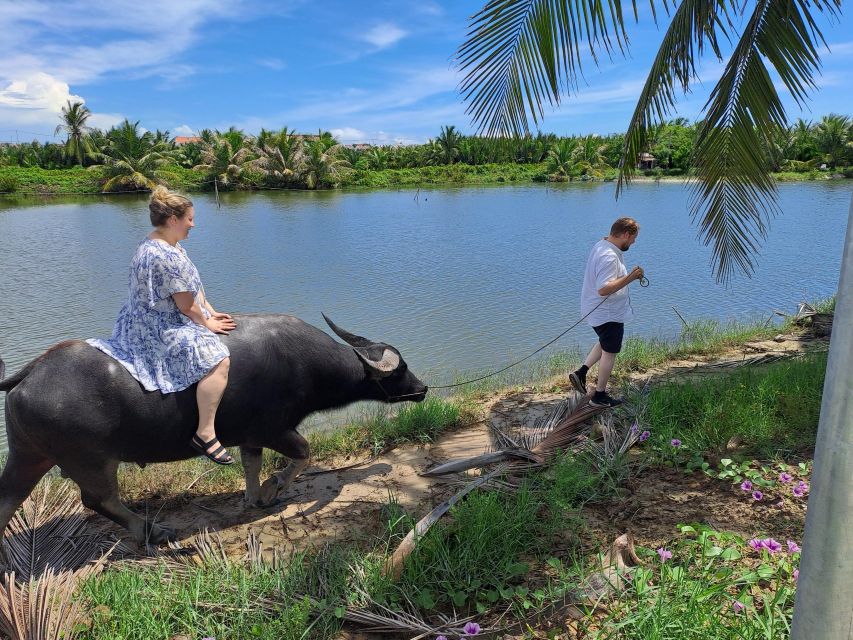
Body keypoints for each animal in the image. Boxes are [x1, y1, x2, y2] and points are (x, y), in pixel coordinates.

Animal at [0, 316, 426, 544]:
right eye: (402, 368)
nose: (421, 389)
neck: (306, 364)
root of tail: (30, 373)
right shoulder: (275, 429)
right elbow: (304, 453)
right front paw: (274, 488)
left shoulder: (250, 438)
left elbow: (252, 466)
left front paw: (256, 497)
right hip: (91, 460)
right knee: (99, 500)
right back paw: (153, 530)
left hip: (28, 454)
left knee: (9, 499)